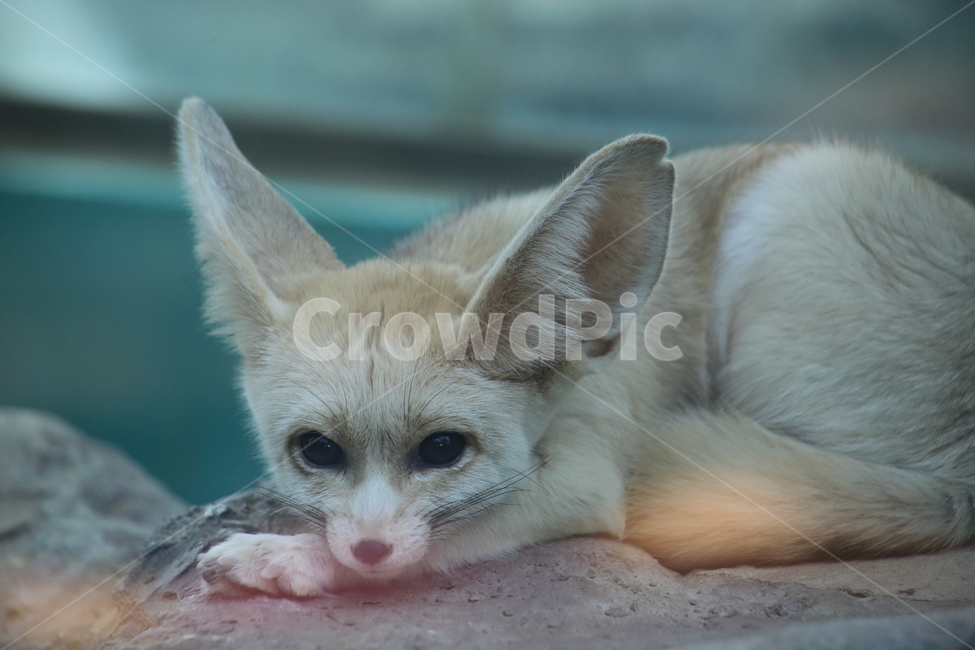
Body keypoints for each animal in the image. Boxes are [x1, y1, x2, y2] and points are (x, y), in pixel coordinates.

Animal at [178, 97, 975, 597]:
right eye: (317, 451)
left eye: (441, 450)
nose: (367, 550)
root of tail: (962, 482)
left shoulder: (586, 475)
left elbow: (457, 528)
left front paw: (294, 557)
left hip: (795, 202)